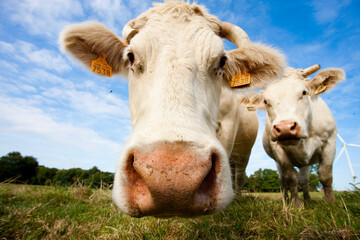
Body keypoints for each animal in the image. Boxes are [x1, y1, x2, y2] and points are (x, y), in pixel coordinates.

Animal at [59, 0, 284, 218]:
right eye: (131, 56)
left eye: (221, 61)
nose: (170, 179)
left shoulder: (228, 127)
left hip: (245, 150)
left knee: (239, 174)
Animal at [240, 64, 344, 203]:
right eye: (266, 101)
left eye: (304, 92)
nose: (285, 128)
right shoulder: (278, 149)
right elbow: (291, 177)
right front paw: (296, 203)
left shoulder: (330, 141)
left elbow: (325, 175)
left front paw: (331, 202)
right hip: (278, 163)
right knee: (283, 180)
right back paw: (285, 199)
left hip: (306, 164)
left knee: (304, 180)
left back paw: (308, 200)